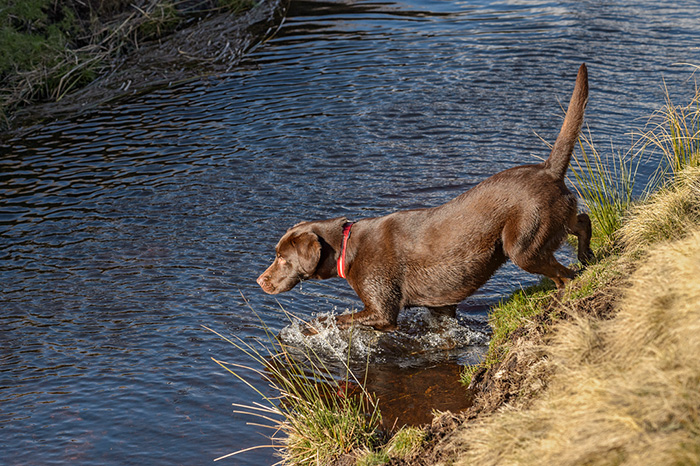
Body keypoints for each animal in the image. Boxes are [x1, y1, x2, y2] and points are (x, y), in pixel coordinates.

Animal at [256, 63, 592, 332]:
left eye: (282, 258)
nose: (260, 280)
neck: (346, 246)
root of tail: (548, 169)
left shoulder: (382, 310)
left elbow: (340, 320)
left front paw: (311, 329)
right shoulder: (440, 306)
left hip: (522, 245)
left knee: (566, 275)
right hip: (552, 223)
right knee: (582, 222)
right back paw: (587, 256)